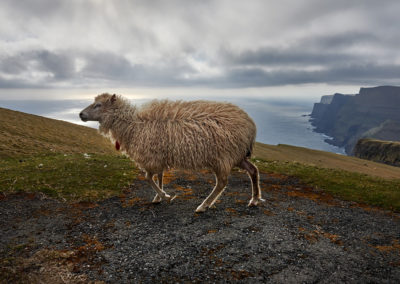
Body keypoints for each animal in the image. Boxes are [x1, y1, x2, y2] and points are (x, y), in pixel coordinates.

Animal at [79, 94, 264, 212]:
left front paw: (166, 196)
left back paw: (203, 206)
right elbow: (159, 177)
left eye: (98, 105)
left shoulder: (151, 157)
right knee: (253, 170)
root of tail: (250, 123)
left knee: (222, 182)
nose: (80, 114)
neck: (133, 126)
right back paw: (254, 199)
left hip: (222, 157)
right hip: (237, 155)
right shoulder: (159, 157)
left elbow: (148, 178)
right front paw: (158, 197)